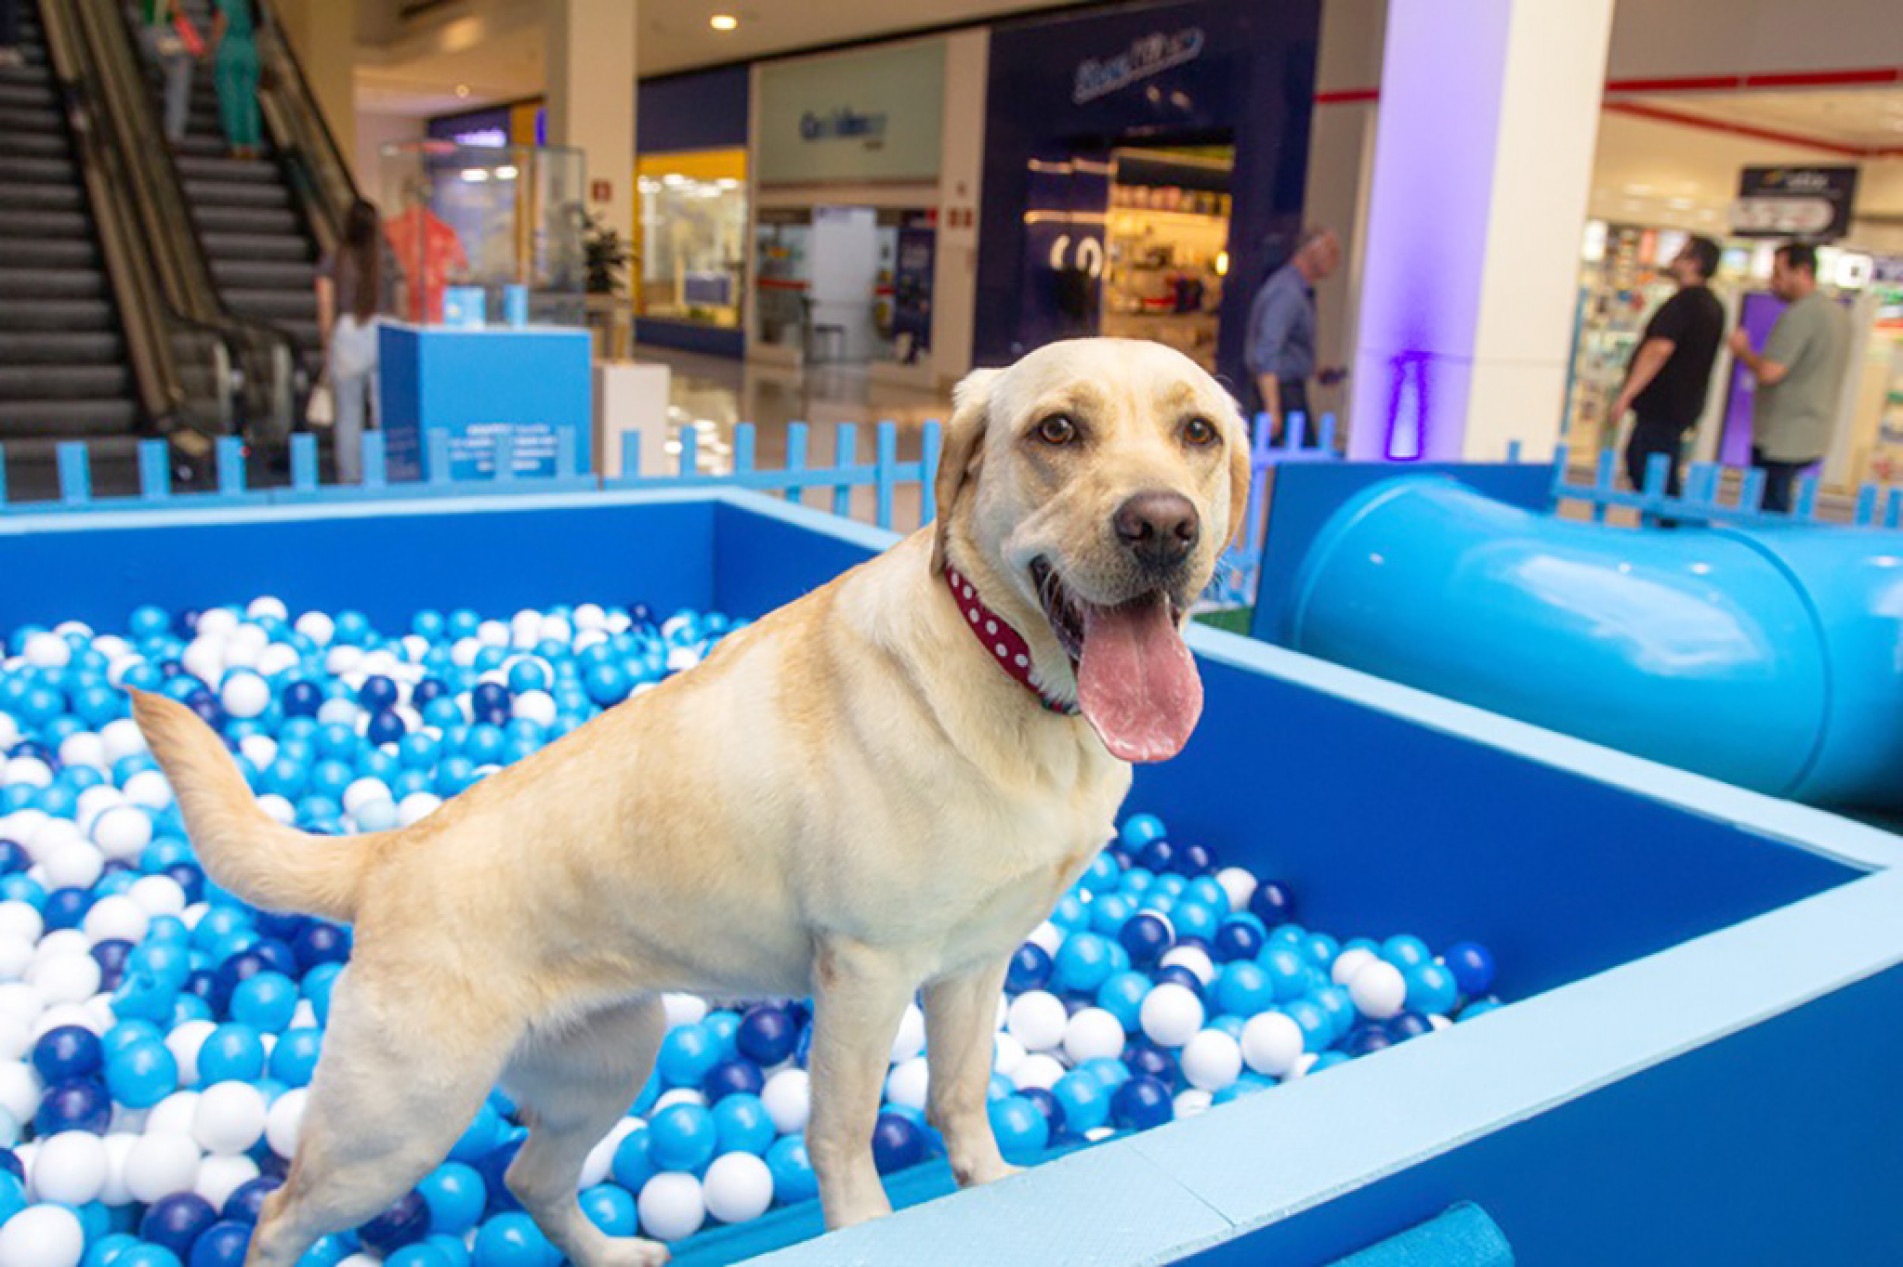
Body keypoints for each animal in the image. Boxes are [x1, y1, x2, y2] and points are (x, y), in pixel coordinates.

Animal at [140, 338, 1255, 1263]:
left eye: (1197, 432)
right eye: (1055, 431)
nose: (1162, 525)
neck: (1017, 684)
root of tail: (388, 850)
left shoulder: (974, 966)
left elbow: (962, 1097)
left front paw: (992, 1188)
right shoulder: (866, 971)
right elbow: (844, 1136)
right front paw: (870, 1229)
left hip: (608, 1057)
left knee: (529, 1176)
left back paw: (610, 1251)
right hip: (398, 1120)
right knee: (278, 1215)